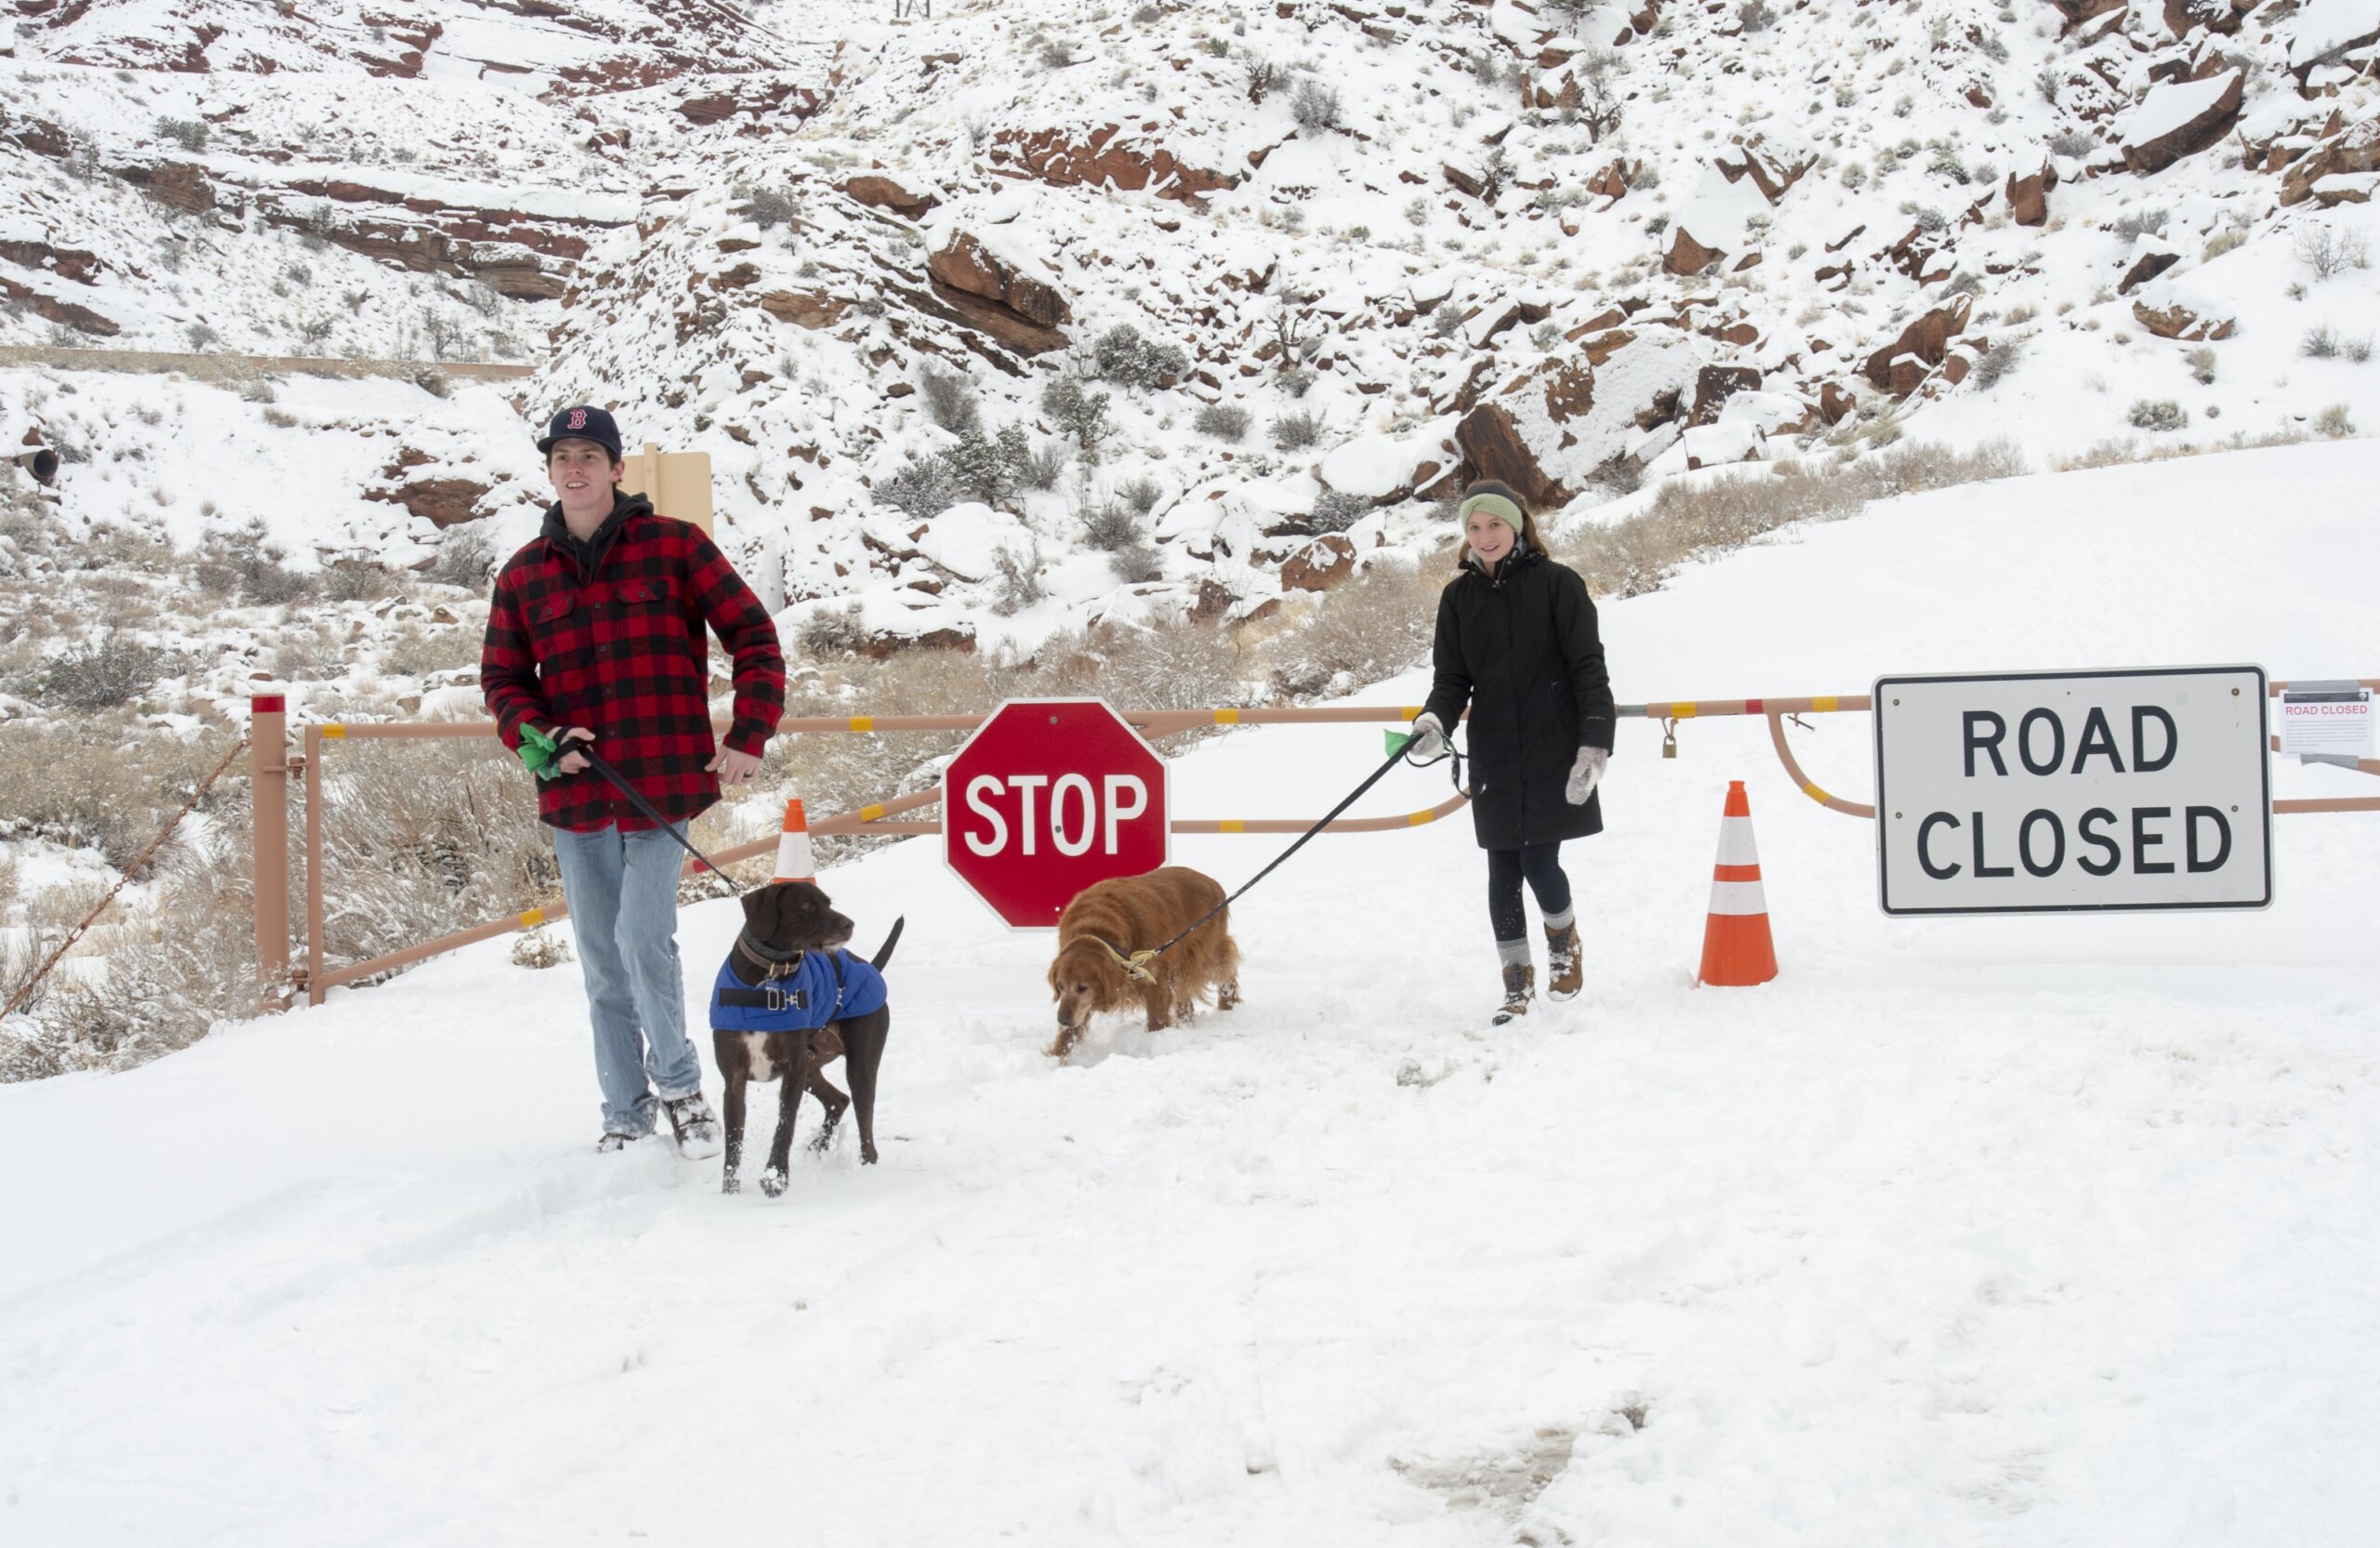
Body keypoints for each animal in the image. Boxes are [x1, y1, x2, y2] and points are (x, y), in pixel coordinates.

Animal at [714, 880, 899, 1195]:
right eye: (807, 905)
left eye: (828, 902)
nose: (849, 924)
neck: (768, 976)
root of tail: (871, 968)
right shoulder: (735, 1078)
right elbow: (733, 1142)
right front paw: (729, 1193)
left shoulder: (793, 1070)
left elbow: (784, 1125)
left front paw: (775, 1177)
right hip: (812, 1066)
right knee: (839, 1100)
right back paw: (819, 1145)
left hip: (858, 1066)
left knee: (865, 1128)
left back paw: (865, 1172)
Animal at [1056, 862, 1247, 1052]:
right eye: (1060, 986)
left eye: (1082, 987)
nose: (1062, 1020)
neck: (1098, 928)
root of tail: (1212, 882)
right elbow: (1069, 1034)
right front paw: (1058, 1055)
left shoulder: (1155, 982)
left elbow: (1157, 1019)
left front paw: (1157, 1039)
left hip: (1207, 954)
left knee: (1227, 974)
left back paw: (1227, 1005)